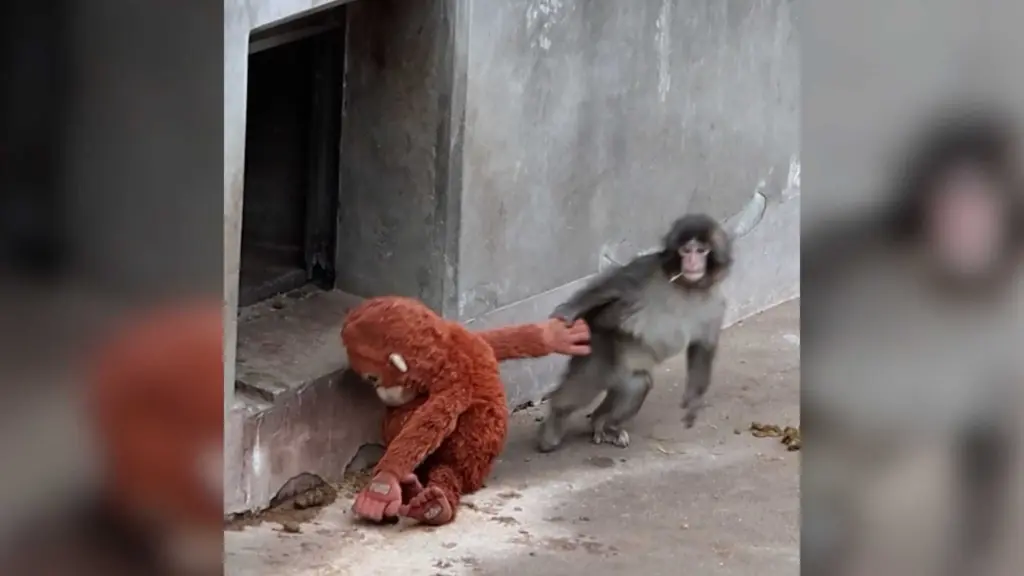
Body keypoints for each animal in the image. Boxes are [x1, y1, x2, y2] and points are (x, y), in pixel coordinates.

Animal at [536, 214, 733, 453]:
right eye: (686, 250)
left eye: (701, 251)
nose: (692, 262)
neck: (688, 287)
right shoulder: (648, 269)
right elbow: (615, 287)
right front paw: (567, 311)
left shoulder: (716, 304)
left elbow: (702, 347)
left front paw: (694, 400)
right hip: (600, 348)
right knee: (579, 391)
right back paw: (553, 428)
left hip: (623, 372)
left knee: (637, 384)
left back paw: (604, 424)